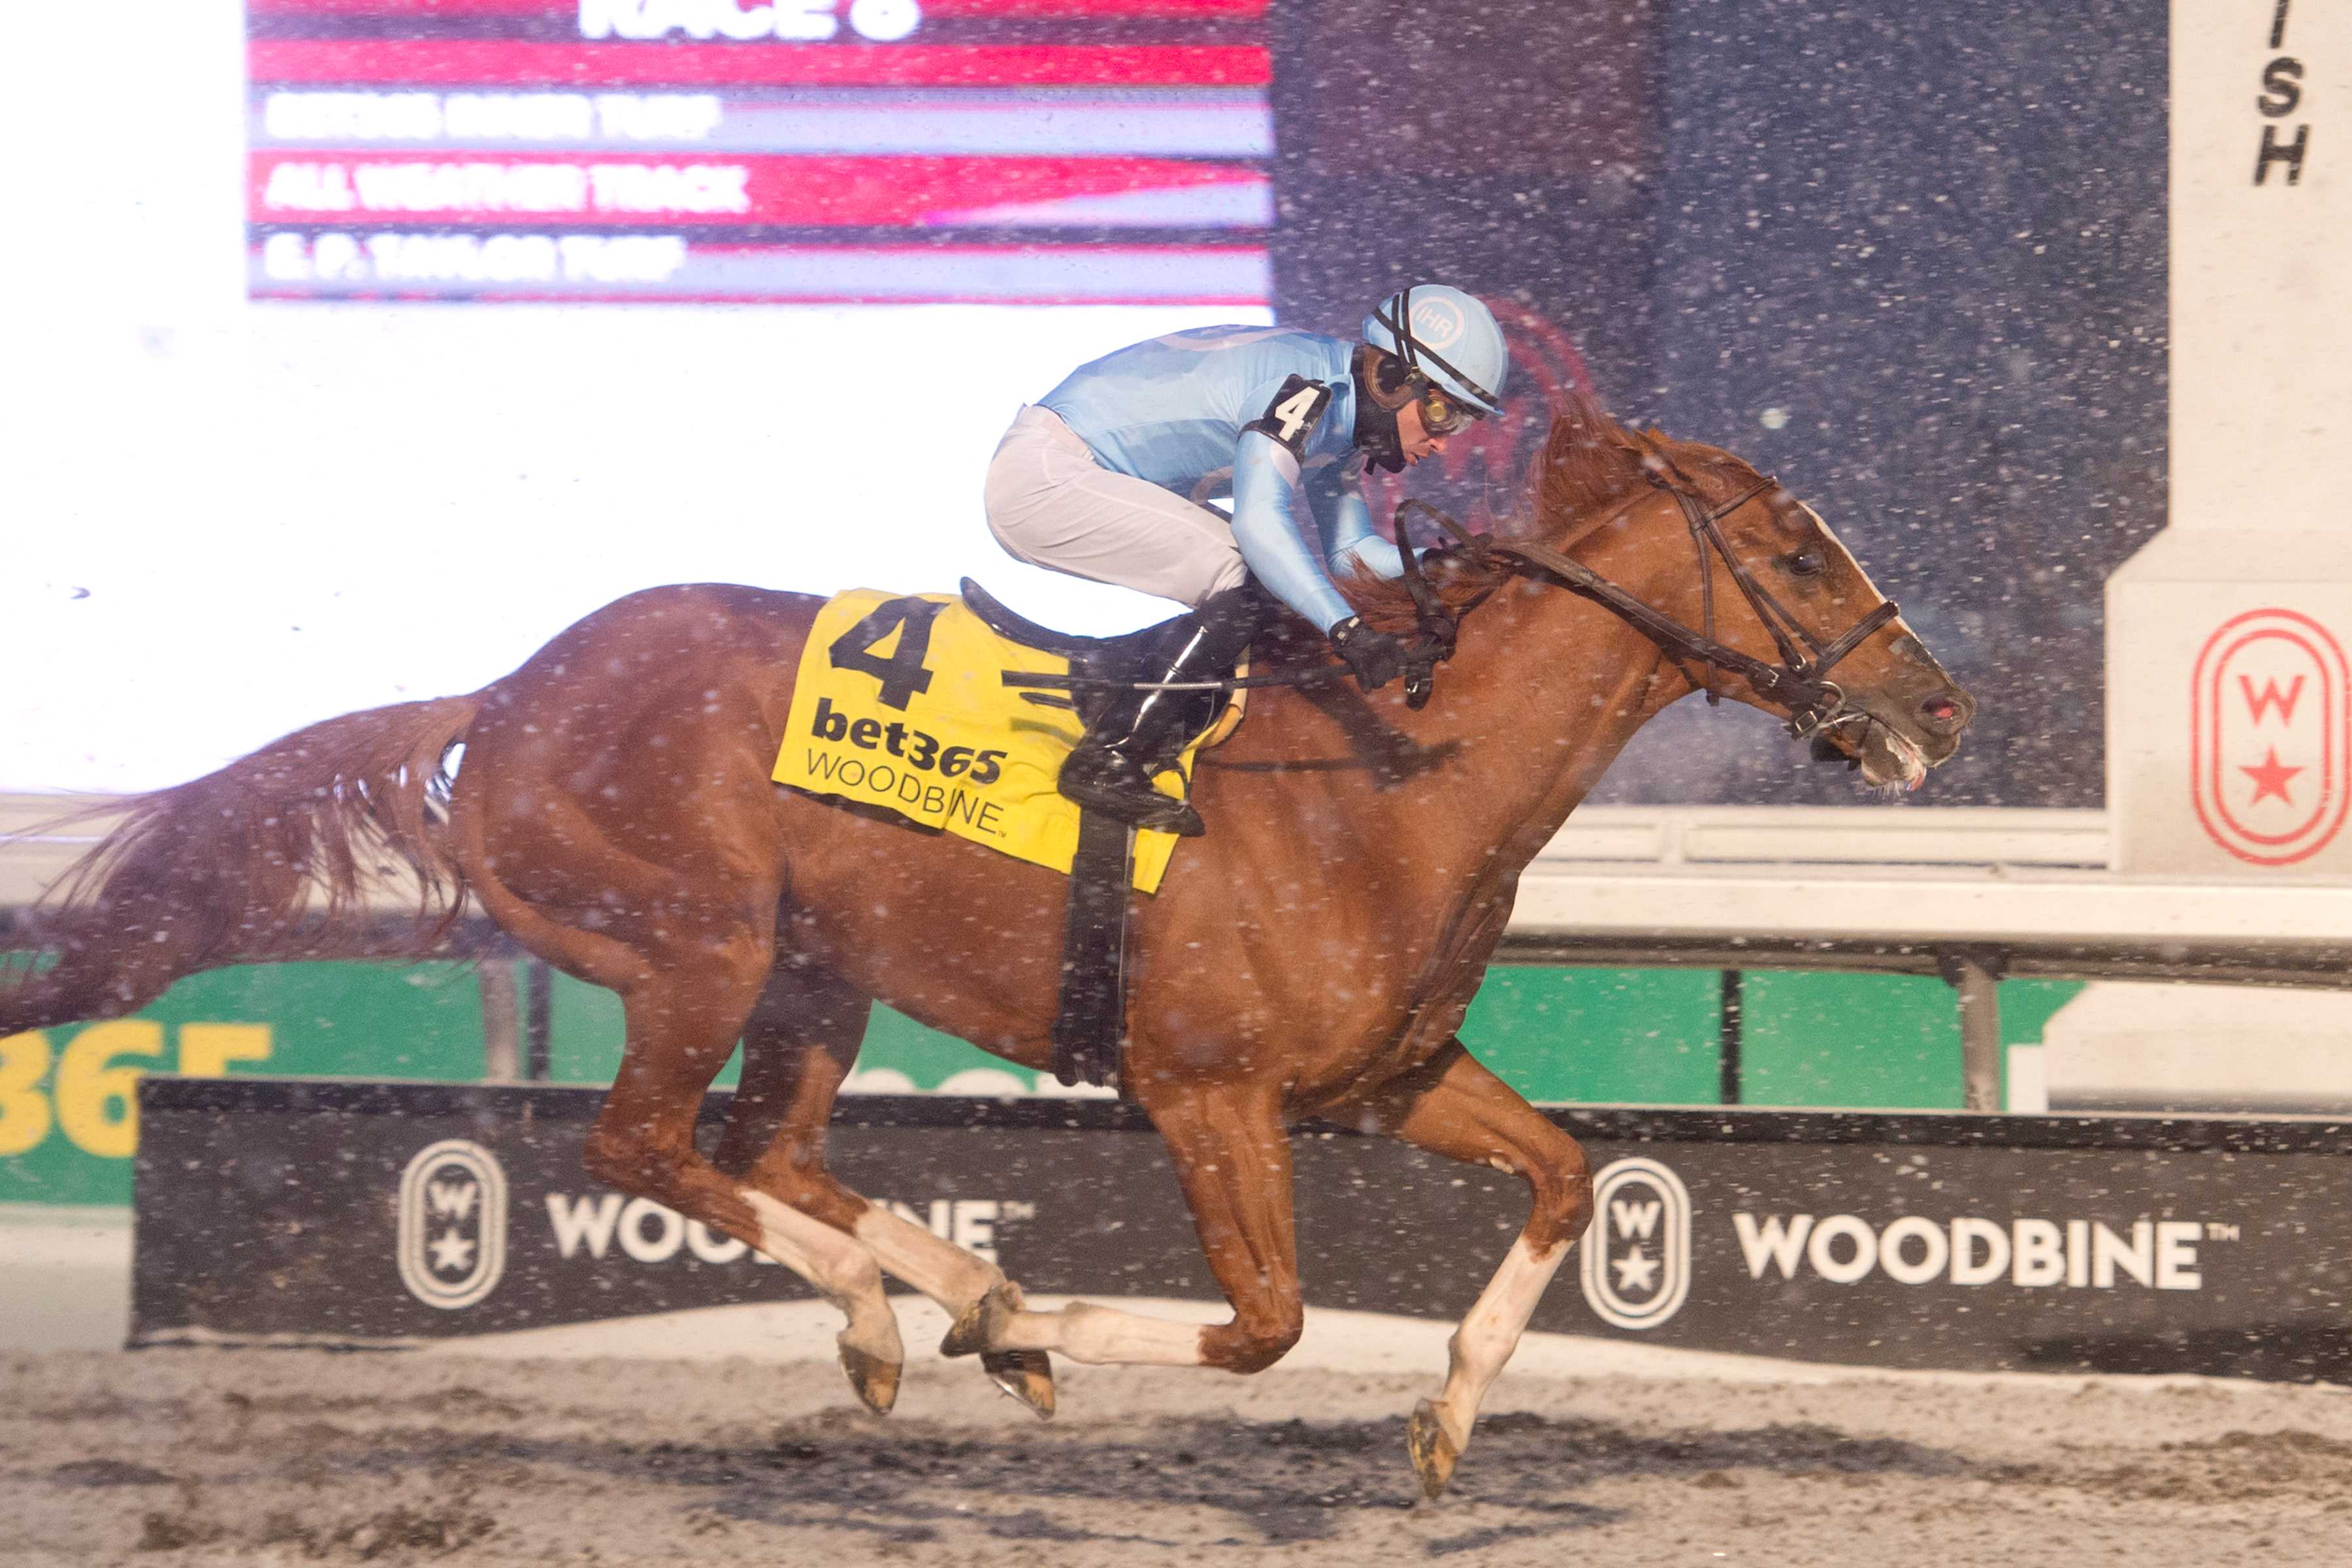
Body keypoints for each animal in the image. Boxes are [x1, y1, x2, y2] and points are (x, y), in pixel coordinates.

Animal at [9, 392, 1976, 1495]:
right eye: (1801, 554)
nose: (1936, 708)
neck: (1395, 767)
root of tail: (500, 698)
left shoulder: (1385, 1075)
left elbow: (1569, 1180)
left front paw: (1444, 1425)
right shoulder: (1205, 1091)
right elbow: (1265, 1321)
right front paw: (1044, 1327)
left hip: (816, 967)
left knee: (767, 1141)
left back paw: (935, 1302)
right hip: (697, 945)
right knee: (651, 1140)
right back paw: (920, 1320)